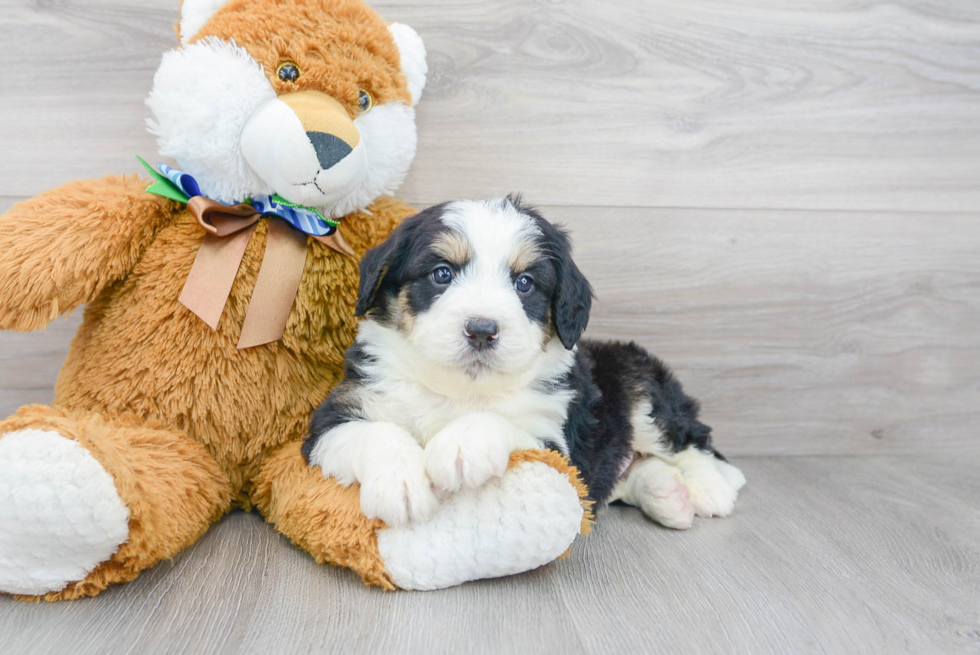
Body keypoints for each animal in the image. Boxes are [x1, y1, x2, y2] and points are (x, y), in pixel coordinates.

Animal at [302, 197, 748, 532]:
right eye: (442, 273)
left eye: (525, 283)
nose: (482, 330)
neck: (459, 390)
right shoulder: (333, 419)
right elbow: (377, 433)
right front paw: (400, 483)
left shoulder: (556, 443)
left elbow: (501, 422)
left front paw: (463, 445)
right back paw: (668, 496)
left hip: (641, 388)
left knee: (690, 439)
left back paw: (712, 485)